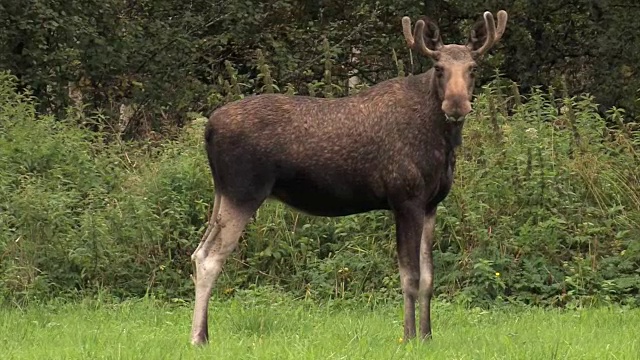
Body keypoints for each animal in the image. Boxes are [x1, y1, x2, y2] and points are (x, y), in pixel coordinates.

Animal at [188, 9, 508, 344]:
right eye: (438, 68)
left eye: (473, 68)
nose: (457, 105)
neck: (442, 142)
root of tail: (208, 129)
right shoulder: (405, 198)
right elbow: (410, 276)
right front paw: (408, 337)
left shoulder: (431, 204)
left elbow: (429, 278)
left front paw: (427, 336)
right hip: (243, 192)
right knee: (210, 258)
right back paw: (197, 338)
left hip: (223, 193)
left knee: (198, 253)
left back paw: (204, 334)